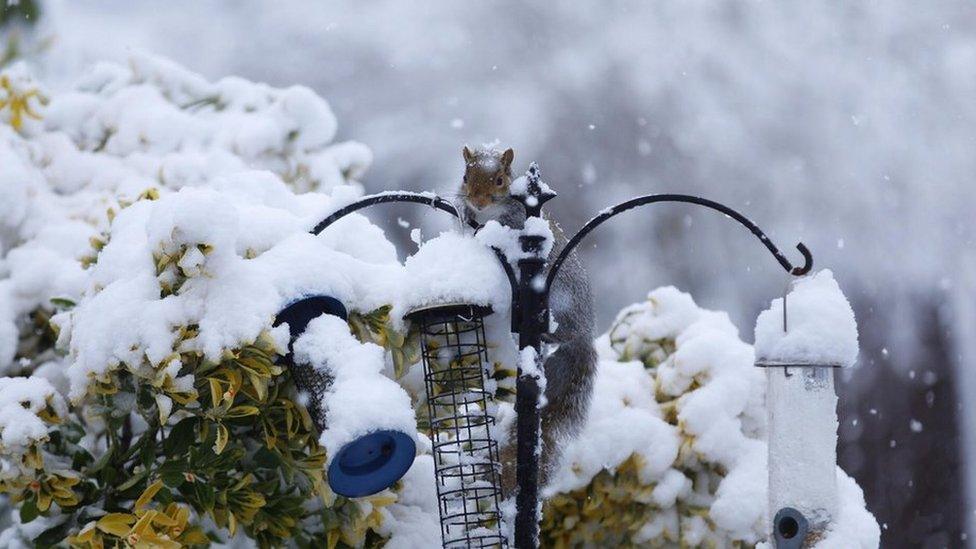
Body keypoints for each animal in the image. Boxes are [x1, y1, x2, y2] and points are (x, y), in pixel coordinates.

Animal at [460, 144, 604, 492]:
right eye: (466, 177)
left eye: (500, 180)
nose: (478, 202)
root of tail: (585, 333)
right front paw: (467, 214)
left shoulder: (514, 222)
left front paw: (487, 230)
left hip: (560, 302)